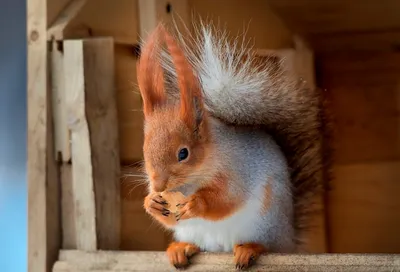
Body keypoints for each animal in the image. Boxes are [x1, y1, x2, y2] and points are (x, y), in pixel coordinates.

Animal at [136, 23, 326, 270]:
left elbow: (229, 198)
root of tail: (289, 240)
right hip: (193, 232)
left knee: (265, 245)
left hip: (265, 226)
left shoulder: (239, 169)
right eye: (145, 150)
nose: (158, 186)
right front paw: (151, 202)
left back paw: (249, 249)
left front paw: (196, 204)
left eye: (183, 153)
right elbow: (167, 217)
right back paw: (181, 248)